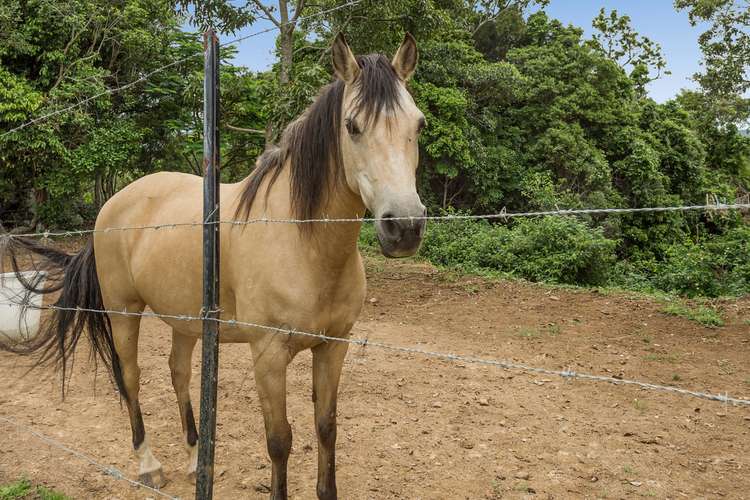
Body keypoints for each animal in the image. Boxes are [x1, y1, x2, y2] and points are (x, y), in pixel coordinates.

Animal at [0, 33, 426, 498]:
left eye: (419, 125)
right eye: (352, 126)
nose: (405, 226)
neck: (301, 241)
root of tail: (114, 204)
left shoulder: (334, 347)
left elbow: (326, 429)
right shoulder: (268, 355)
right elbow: (280, 440)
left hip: (186, 321)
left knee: (178, 373)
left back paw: (194, 461)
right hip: (123, 312)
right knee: (131, 378)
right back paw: (149, 464)